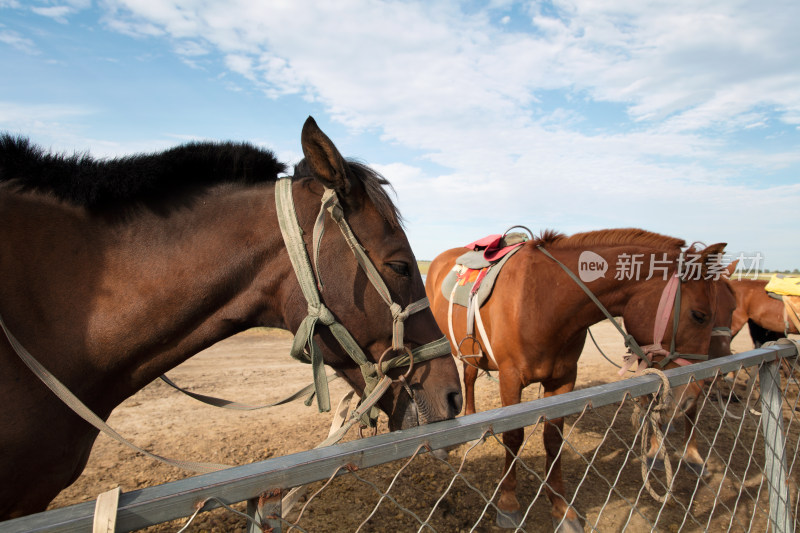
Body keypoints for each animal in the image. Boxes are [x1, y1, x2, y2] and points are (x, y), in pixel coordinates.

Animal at [428, 228, 736, 528]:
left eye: (731, 308)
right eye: (699, 315)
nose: (692, 394)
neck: (543, 300)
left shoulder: (563, 381)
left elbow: (554, 439)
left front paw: (561, 508)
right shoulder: (510, 379)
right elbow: (514, 437)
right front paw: (508, 503)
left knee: (470, 376)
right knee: (464, 380)